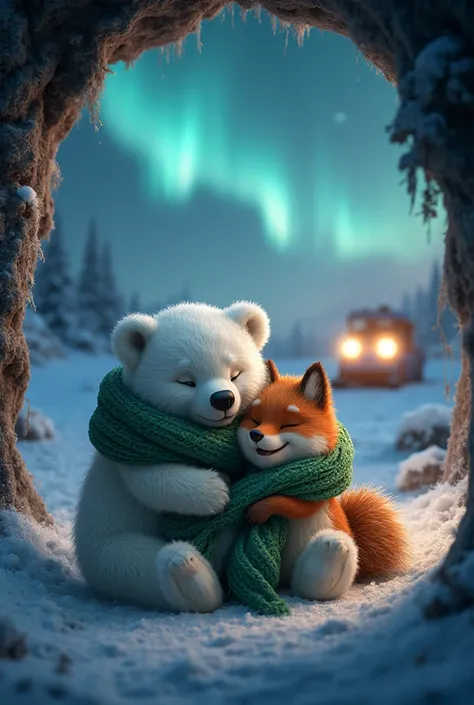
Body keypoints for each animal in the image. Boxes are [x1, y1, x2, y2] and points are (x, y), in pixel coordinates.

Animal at [73, 301, 271, 614]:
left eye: (235, 373)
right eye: (186, 381)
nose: (223, 399)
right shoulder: (129, 447)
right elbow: (152, 482)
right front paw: (217, 490)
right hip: (105, 544)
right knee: (134, 564)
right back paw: (191, 574)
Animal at [237, 359, 411, 601]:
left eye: (289, 425)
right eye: (255, 420)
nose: (256, 435)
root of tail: (283, 583)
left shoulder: (317, 496)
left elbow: (294, 504)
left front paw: (260, 509)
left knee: (310, 585)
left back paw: (329, 552)